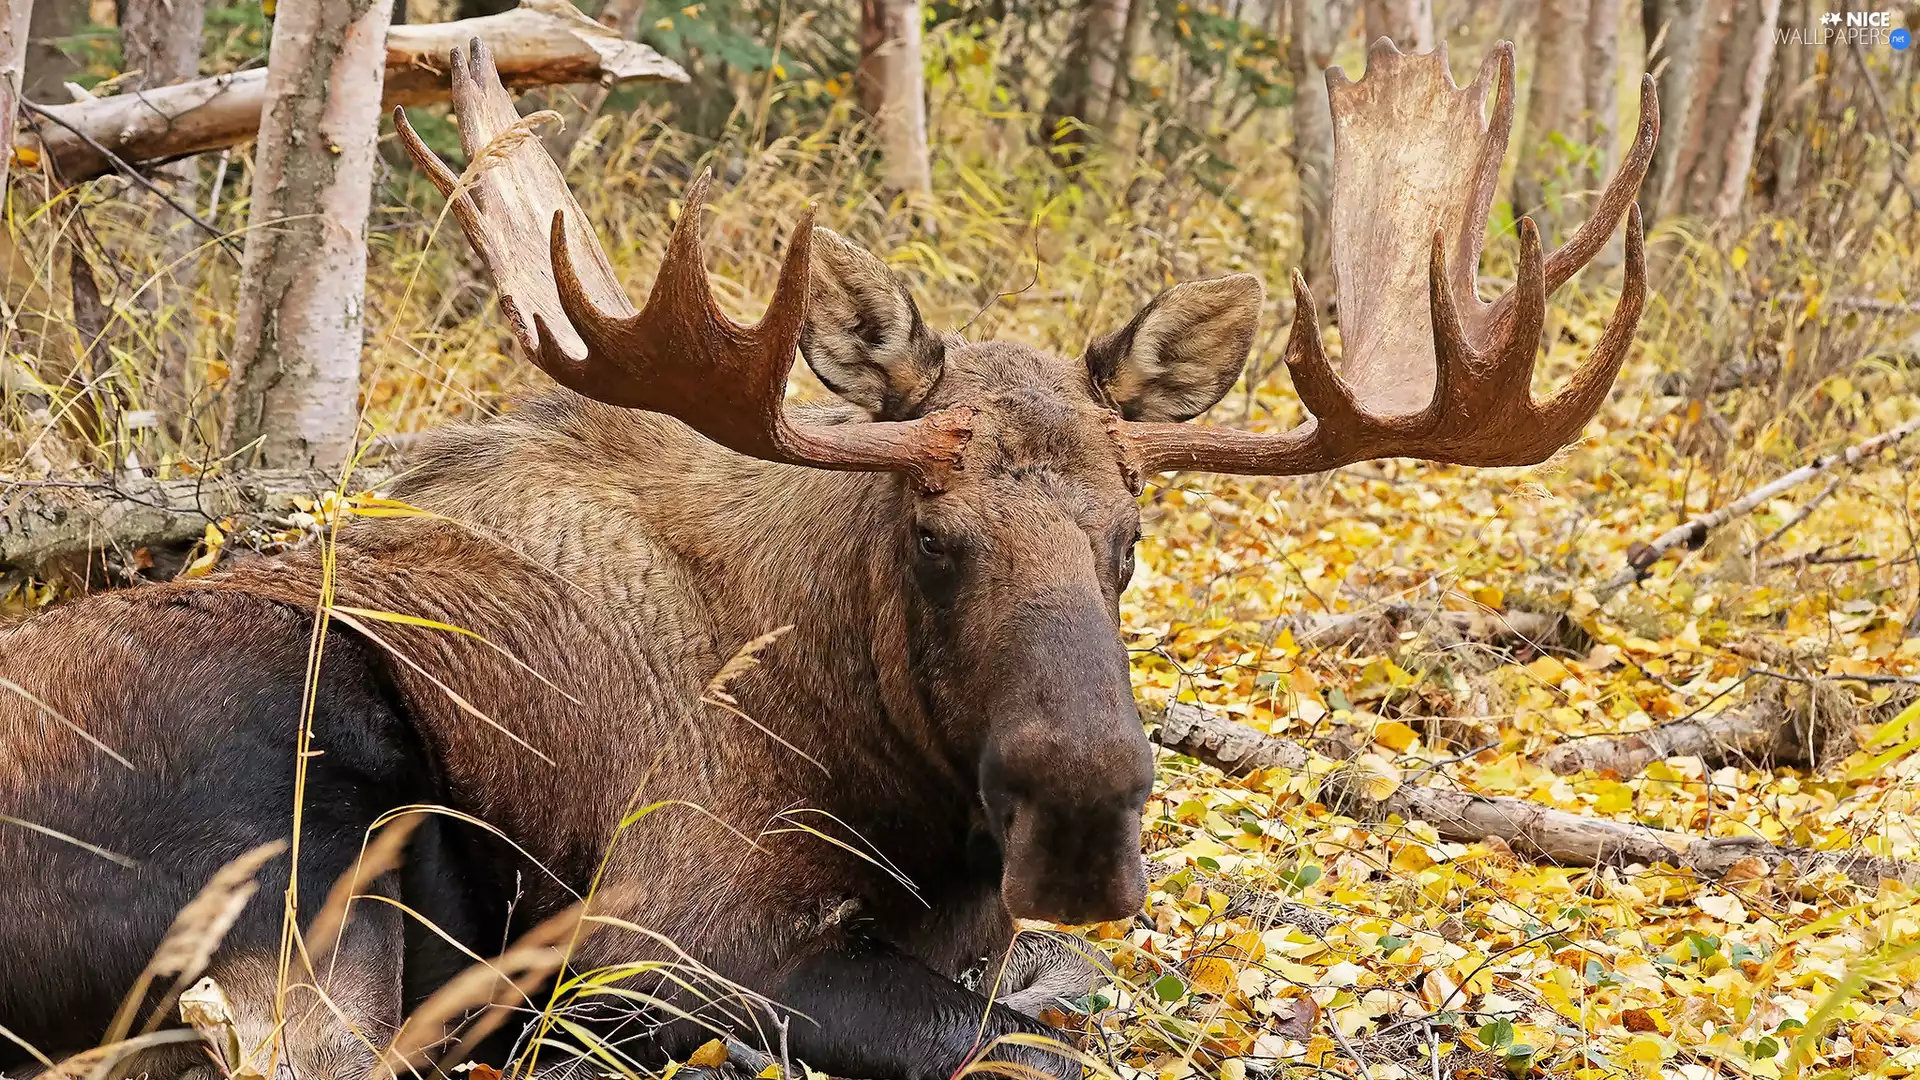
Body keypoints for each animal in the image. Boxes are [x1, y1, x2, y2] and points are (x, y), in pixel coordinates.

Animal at [0, 36, 1655, 1080]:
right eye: (931, 535)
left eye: (1129, 540)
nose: (1084, 817)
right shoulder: (645, 934)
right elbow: (1031, 1043)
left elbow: (1065, 997)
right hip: (299, 806)